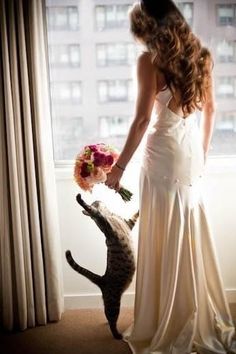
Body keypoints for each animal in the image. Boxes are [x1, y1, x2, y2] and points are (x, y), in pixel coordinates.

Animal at [65, 194, 138, 340]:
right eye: (94, 202)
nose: (97, 199)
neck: (110, 214)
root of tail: (102, 279)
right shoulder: (104, 222)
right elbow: (91, 210)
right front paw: (80, 200)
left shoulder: (128, 223)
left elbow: (135, 215)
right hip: (114, 302)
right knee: (111, 320)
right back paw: (118, 335)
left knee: (108, 316)